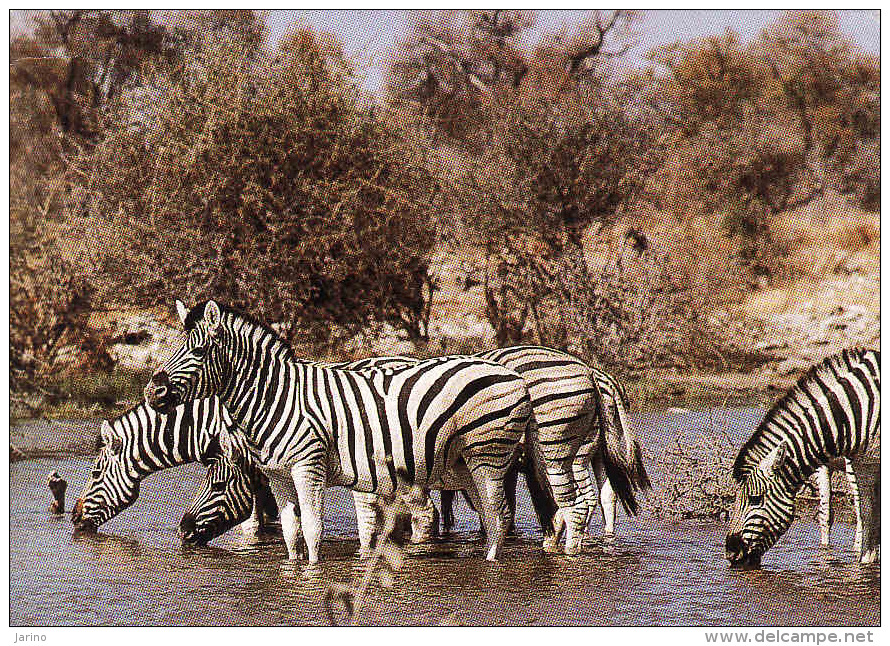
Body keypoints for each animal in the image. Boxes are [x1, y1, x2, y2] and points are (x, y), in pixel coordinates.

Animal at [146, 300, 540, 560]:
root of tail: (515, 375)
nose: (153, 391)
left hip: (487, 456)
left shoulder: (308, 467)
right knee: (491, 518)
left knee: (499, 518)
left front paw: (311, 577)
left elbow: (312, 530)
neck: (274, 398)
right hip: (463, 465)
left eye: (198, 351)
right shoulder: (278, 476)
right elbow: (290, 533)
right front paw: (293, 570)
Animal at [724, 346, 876, 568]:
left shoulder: (851, 463)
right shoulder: (822, 464)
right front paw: (824, 553)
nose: (732, 554)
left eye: (755, 499)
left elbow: (858, 511)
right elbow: (825, 515)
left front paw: (856, 552)